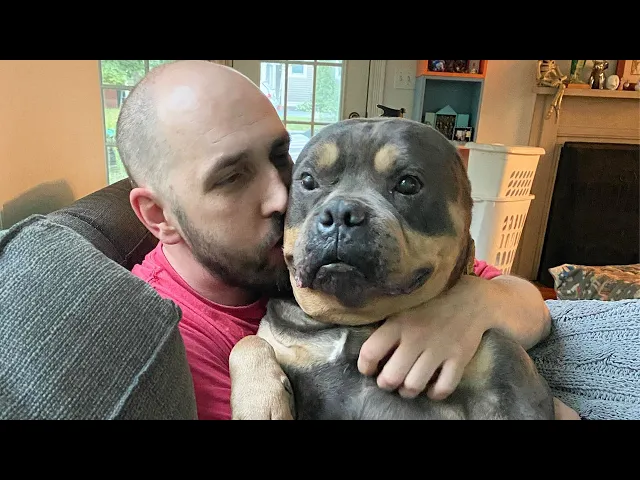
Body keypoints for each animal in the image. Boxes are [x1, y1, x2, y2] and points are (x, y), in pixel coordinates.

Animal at [229, 117, 555, 420]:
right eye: (307, 181)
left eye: (408, 184)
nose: (340, 213)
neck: (356, 322)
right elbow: (247, 342)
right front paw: (260, 400)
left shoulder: (506, 383)